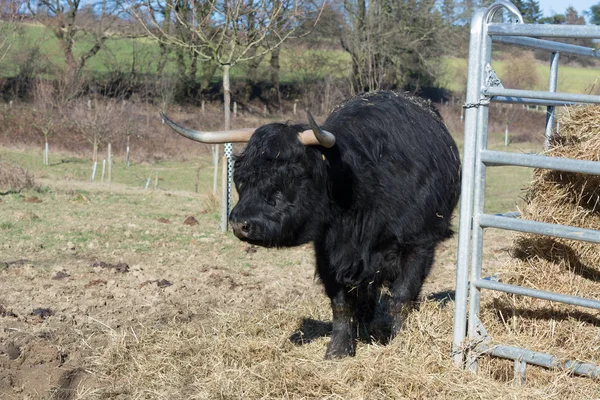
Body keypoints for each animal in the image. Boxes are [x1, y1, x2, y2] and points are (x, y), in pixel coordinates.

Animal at [159, 91, 460, 360]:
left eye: (290, 176)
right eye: (242, 177)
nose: (240, 224)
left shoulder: (419, 244)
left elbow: (401, 298)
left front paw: (399, 344)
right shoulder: (327, 251)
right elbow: (341, 303)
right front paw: (339, 350)